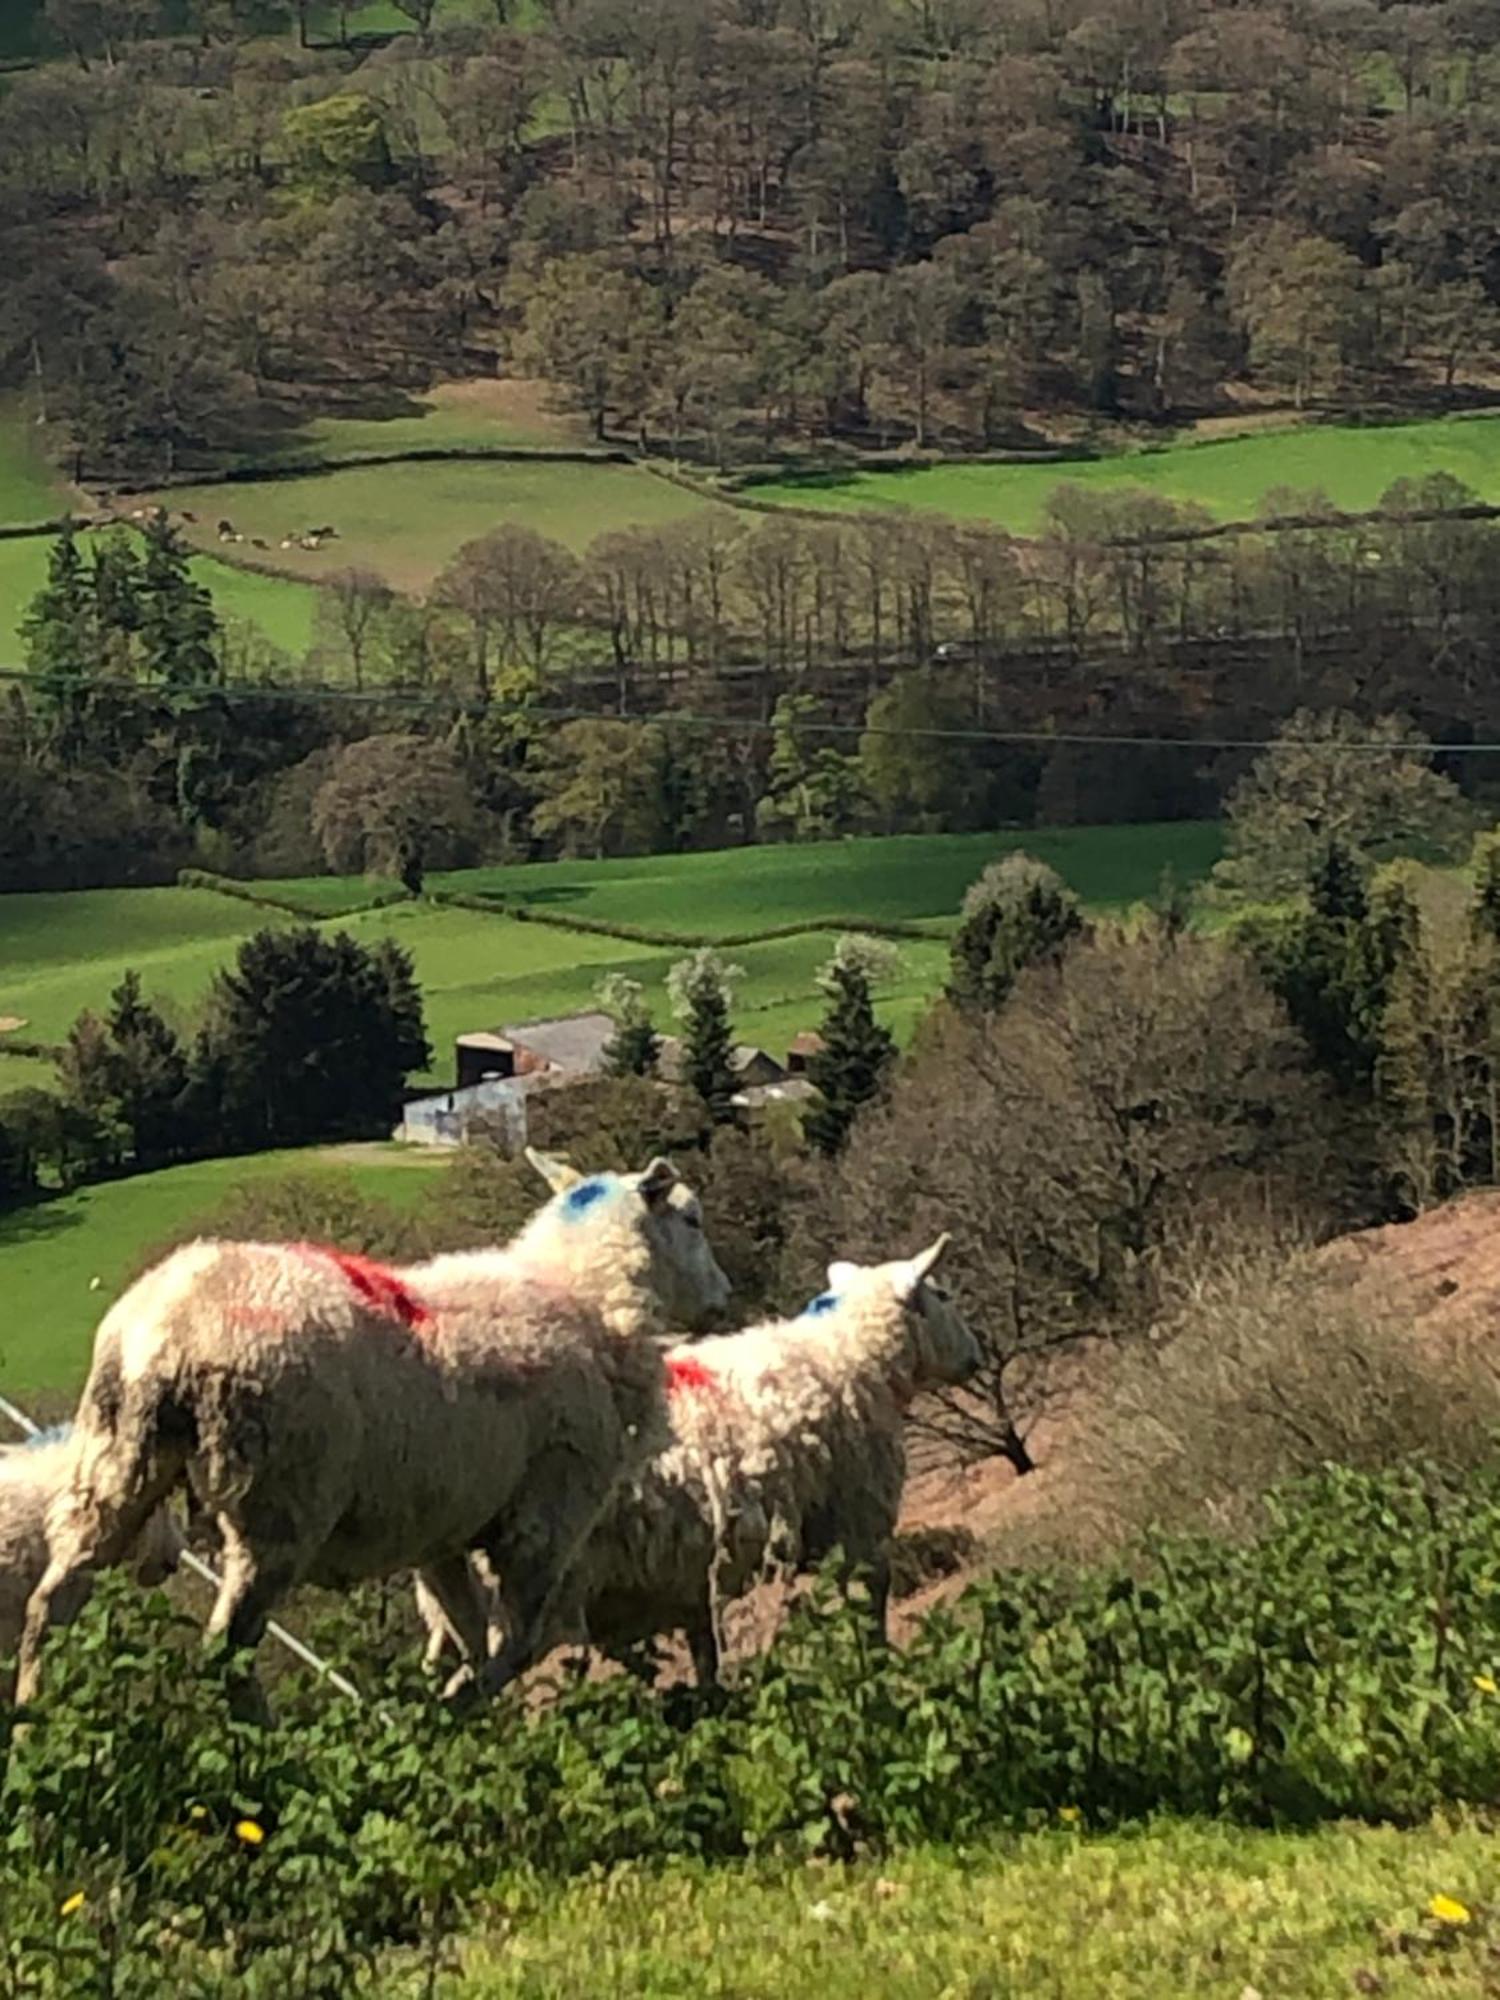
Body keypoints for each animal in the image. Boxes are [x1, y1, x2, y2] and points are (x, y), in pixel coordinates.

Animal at [424, 1232, 988, 1688]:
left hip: (460, 1613)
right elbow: (872, 1620)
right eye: (942, 1294)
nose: (977, 1356)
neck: (852, 1358)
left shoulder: (691, 1582)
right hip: (541, 1603)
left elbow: (707, 1660)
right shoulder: (864, 1531)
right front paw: (884, 1672)